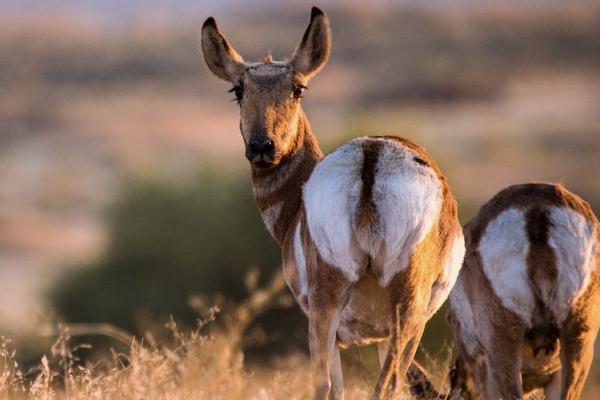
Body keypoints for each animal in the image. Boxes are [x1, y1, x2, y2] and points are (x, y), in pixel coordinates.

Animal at [202, 7, 464, 398]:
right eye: (238, 89)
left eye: (297, 88)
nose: (263, 147)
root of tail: (371, 157)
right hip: (396, 312)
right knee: (380, 384)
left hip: (340, 313)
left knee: (339, 385)